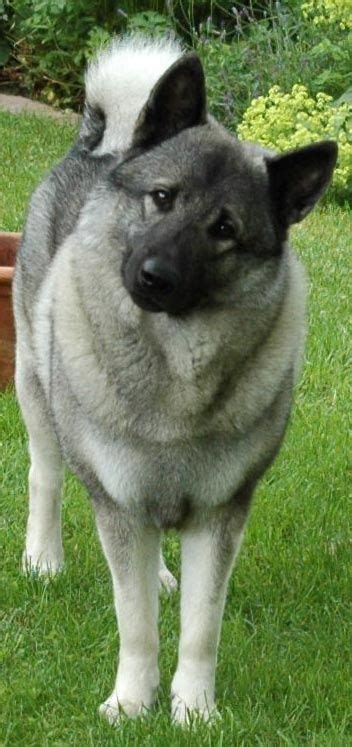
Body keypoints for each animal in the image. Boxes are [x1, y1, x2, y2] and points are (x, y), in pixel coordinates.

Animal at [13, 36, 336, 724]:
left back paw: (160, 576)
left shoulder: (220, 513)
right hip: (35, 387)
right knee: (45, 477)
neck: (172, 365)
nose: (155, 275)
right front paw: (133, 703)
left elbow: (199, 628)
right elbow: (135, 622)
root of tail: (100, 149)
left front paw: (195, 712)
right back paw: (43, 560)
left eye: (225, 229)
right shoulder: (116, 501)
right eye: (162, 197)